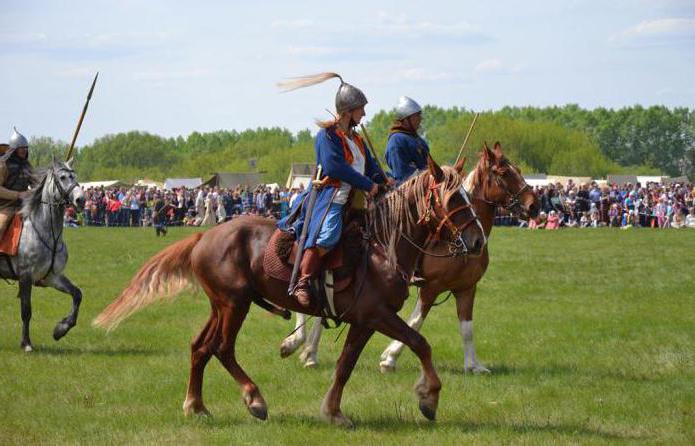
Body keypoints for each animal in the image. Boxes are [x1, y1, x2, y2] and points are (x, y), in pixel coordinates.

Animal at [0, 159, 85, 352]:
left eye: (74, 176)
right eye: (63, 177)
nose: (81, 200)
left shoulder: (52, 277)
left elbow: (77, 294)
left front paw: (61, 329)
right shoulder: (25, 276)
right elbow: (26, 310)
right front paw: (26, 343)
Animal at [92, 159, 486, 426]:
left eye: (468, 195)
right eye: (453, 199)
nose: (477, 240)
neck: (382, 246)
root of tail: (204, 236)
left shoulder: (364, 321)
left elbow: (346, 365)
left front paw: (333, 411)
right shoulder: (377, 315)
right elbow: (420, 344)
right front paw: (428, 398)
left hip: (222, 305)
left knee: (200, 347)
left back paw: (196, 405)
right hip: (235, 305)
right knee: (222, 348)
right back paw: (254, 400)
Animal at [280, 143, 540, 372]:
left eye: (518, 170)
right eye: (504, 173)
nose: (534, 206)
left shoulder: (466, 288)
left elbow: (466, 327)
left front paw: (473, 365)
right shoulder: (431, 287)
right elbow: (416, 321)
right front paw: (389, 357)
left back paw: (309, 352)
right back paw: (297, 344)